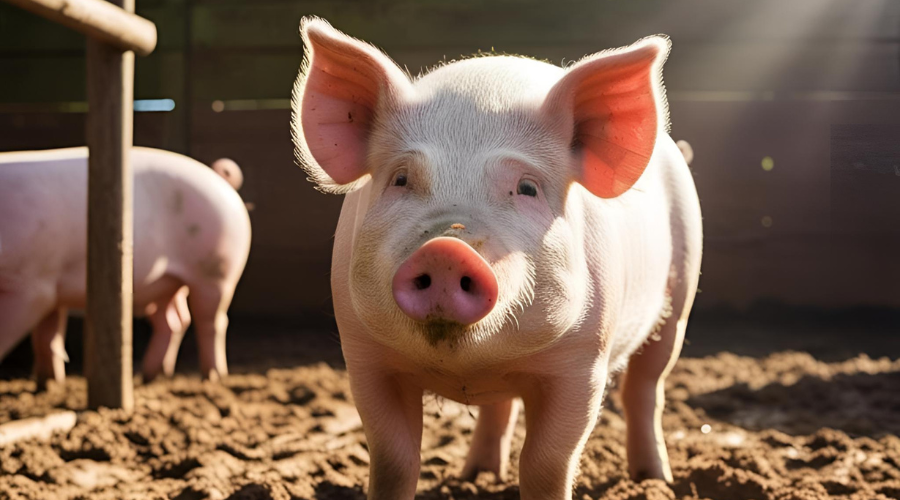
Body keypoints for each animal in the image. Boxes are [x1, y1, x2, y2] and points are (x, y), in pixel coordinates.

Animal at [0, 147, 251, 385]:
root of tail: (220, 179)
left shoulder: (31, 287)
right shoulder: (50, 282)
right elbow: (46, 338)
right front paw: (47, 382)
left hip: (217, 270)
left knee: (212, 321)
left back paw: (212, 377)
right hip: (167, 283)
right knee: (174, 321)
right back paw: (151, 376)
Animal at [291, 18, 702, 499]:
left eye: (526, 188)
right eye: (400, 179)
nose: (447, 250)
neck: (473, 361)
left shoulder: (583, 360)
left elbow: (547, 462)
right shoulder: (364, 354)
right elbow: (393, 458)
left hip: (680, 297)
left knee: (646, 388)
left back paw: (654, 479)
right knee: (500, 408)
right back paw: (477, 476)